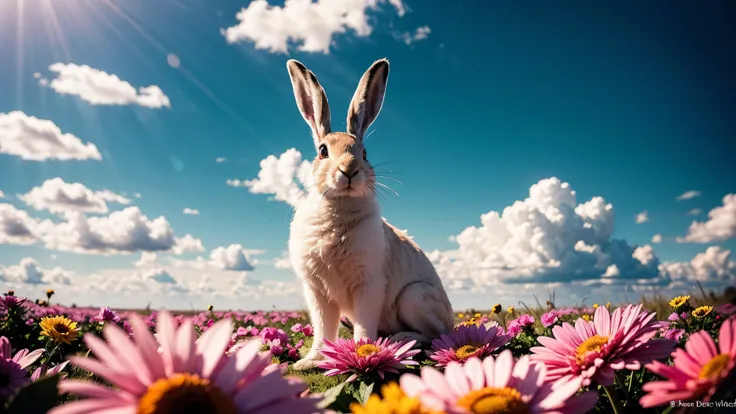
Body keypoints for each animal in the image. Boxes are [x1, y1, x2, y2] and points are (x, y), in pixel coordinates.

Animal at [286, 57, 454, 368]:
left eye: (364, 153)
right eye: (322, 151)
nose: (350, 170)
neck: (339, 208)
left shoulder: (369, 285)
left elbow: (364, 325)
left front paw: (363, 352)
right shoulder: (317, 292)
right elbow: (322, 329)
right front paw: (311, 361)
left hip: (414, 297)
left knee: (437, 335)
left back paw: (401, 340)